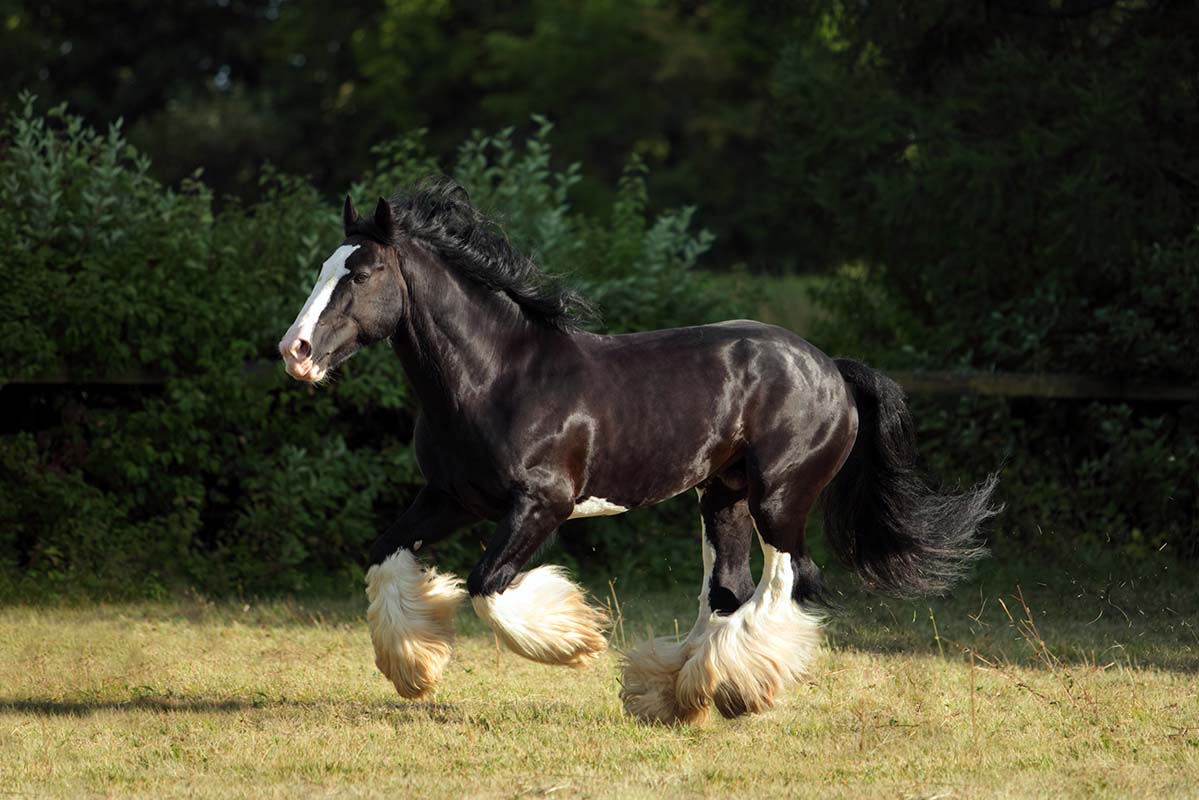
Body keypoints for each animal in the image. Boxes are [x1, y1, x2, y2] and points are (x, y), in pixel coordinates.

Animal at [278, 180, 999, 724]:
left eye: (362, 272)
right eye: (322, 269)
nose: (295, 351)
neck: (496, 377)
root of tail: (831, 368)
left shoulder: (541, 505)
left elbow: (487, 586)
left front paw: (575, 641)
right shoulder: (451, 499)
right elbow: (384, 556)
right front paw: (414, 671)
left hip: (780, 498)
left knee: (789, 580)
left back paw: (736, 690)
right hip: (723, 497)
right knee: (728, 590)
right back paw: (681, 694)